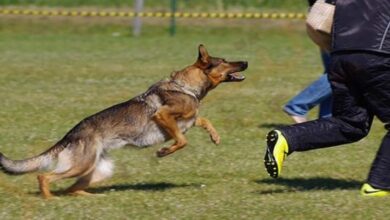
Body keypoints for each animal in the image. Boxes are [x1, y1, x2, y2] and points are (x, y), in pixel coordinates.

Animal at [0, 44, 248, 198]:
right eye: (224, 61)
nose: (245, 61)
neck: (186, 87)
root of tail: (70, 134)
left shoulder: (188, 120)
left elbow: (203, 120)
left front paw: (215, 136)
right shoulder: (164, 116)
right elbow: (181, 141)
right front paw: (164, 152)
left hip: (96, 170)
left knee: (72, 188)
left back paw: (92, 198)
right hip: (81, 165)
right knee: (44, 176)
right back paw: (51, 199)